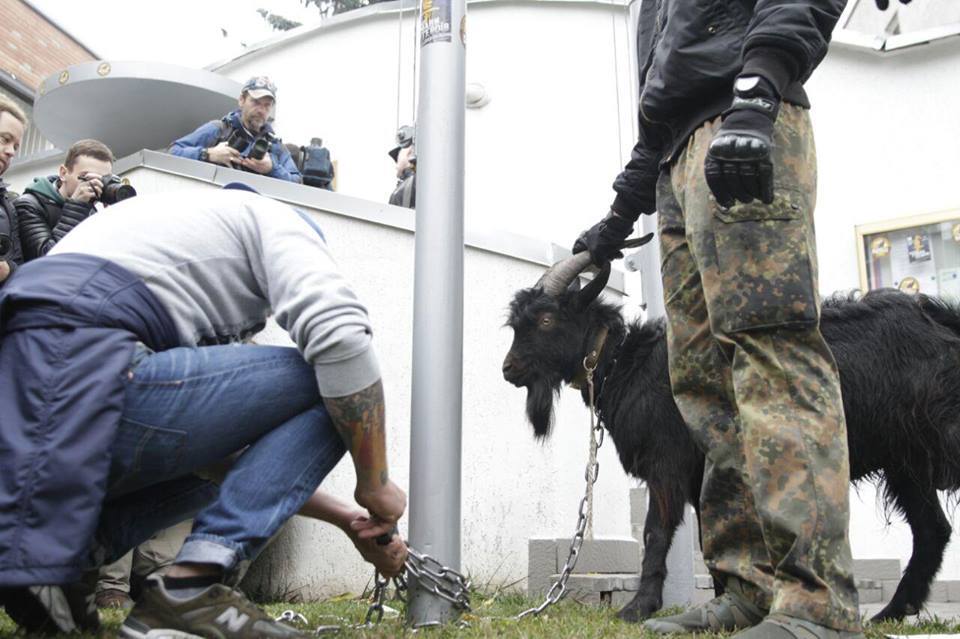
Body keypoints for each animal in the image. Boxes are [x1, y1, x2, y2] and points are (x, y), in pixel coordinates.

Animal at [502, 252, 960, 624]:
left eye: (546, 320)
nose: (509, 369)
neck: (626, 363)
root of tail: (941, 320)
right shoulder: (704, 473)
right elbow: (713, 540)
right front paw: (726, 605)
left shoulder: (667, 465)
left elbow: (656, 534)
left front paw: (638, 608)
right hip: (906, 458)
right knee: (932, 529)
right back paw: (891, 612)